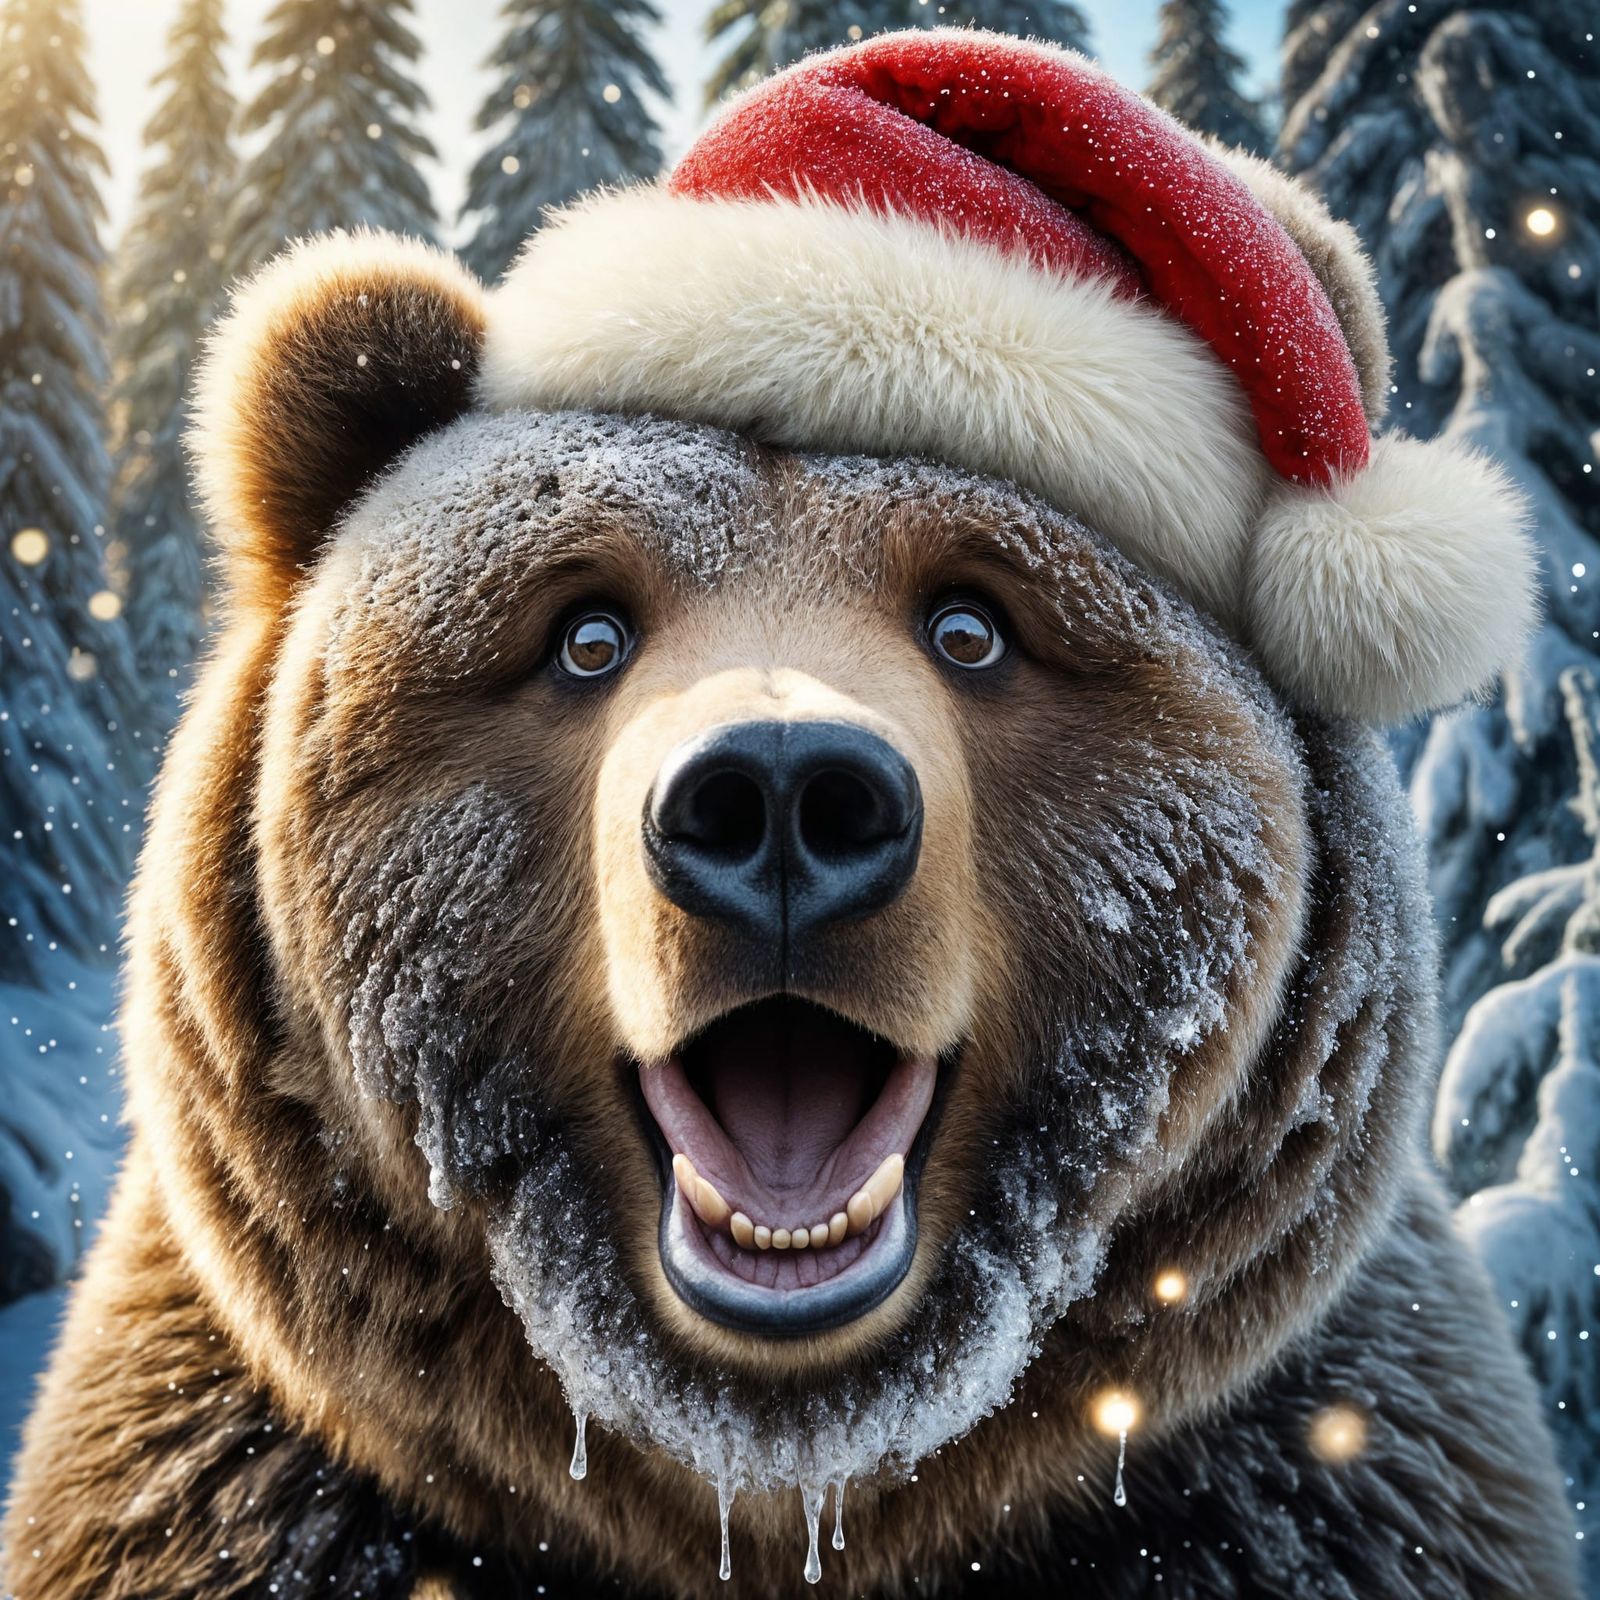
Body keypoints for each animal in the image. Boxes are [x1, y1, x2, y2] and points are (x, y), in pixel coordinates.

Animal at [1, 29, 1577, 1600]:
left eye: (972, 623)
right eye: (584, 630)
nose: (776, 795)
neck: (778, 1490)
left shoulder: (1314, 1492)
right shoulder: (251, 1495)